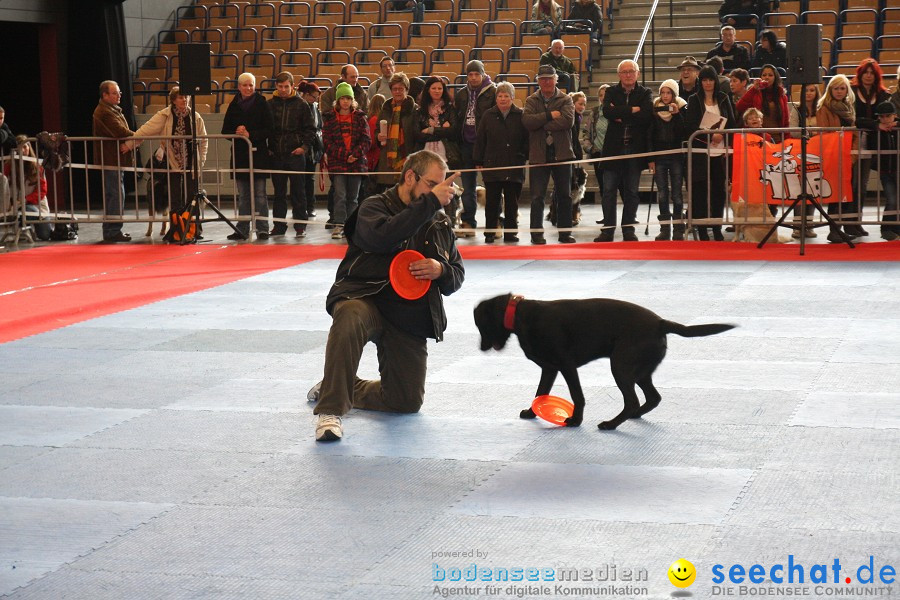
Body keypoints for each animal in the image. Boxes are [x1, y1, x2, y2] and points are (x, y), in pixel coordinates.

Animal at [474, 292, 736, 428]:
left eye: (481, 325)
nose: (481, 348)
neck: (521, 316)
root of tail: (661, 322)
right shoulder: (549, 369)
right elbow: (540, 392)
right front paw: (531, 411)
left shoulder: (566, 366)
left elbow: (577, 396)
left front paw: (575, 420)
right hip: (638, 370)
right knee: (653, 397)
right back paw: (634, 415)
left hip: (620, 366)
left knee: (632, 400)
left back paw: (611, 424)